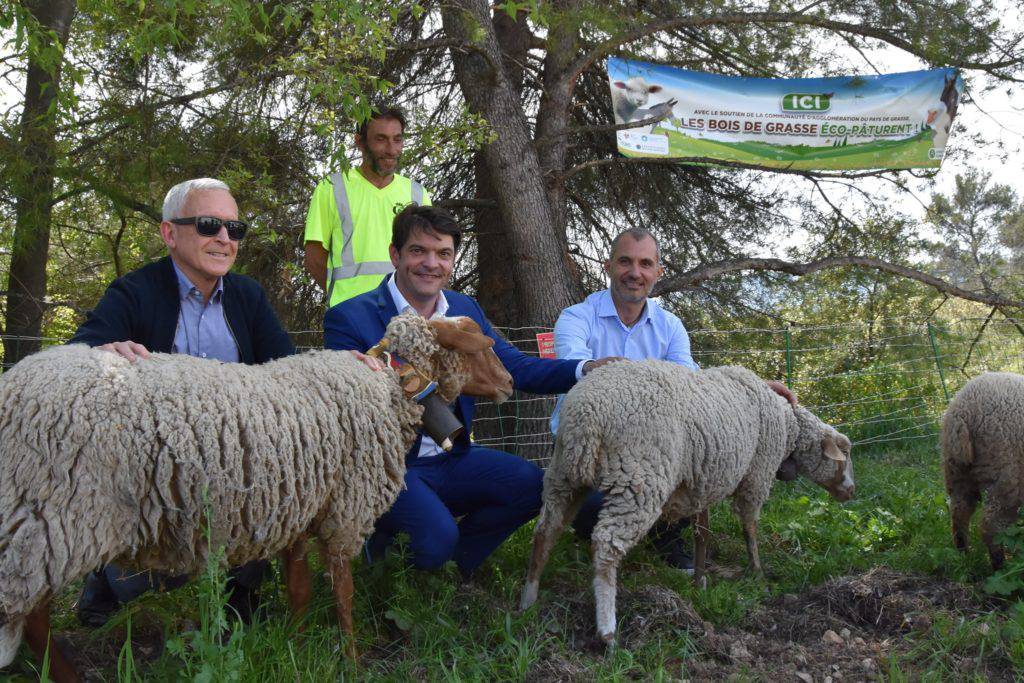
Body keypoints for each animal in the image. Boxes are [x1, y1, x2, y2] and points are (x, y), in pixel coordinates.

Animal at [520, 362, 856, 647]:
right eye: (845, 452)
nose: (851, 492)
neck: (788, 427)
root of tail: (586, 414)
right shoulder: (756, 475)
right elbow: (749, 527)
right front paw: (757, 573)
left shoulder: (704, 481)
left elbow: (701, 533)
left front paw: (700, 580)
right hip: (639, 479)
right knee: (605, 543)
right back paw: (607, 629)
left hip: (564, 475)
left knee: (546, 530)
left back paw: (528, 599)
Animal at [942, 370, 1024, 569]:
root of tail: (962, 413)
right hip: (1008, 475)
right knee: (991, 524)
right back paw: (1000, 565)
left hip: (957, 471)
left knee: (959, 511)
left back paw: (963, 554)